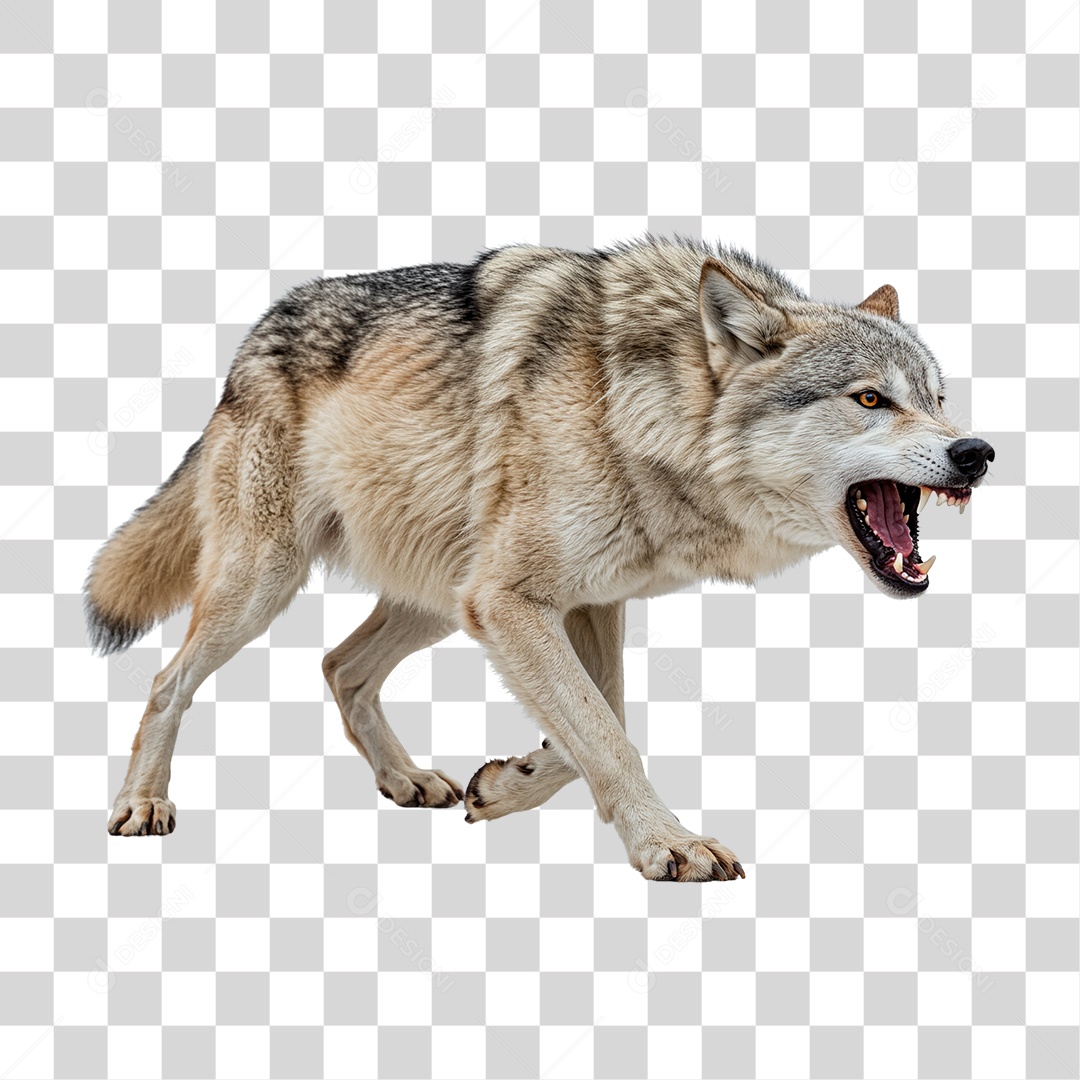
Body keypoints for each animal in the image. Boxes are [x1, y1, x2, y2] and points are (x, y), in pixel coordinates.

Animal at [85, 236, 994, 882]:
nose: (978, 452)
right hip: (268, 584)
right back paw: (142, 804)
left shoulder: (582, 602)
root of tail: (248, 344)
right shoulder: (512, 603)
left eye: (939, 398)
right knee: (169, 679)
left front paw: (508, 784)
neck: (636, 411)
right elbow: (606, 730)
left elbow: (601, 719)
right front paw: (669, 846)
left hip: (437, 599)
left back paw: (405, 780)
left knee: (340, 665)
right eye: (871, 399)